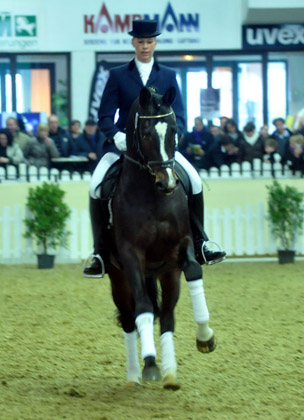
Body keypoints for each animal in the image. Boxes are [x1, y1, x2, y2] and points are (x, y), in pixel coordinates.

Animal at [105, 85, 208, 390]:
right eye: (146, 133)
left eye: (174, 130)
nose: (168, 183)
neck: (153, 196)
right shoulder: (130, 255)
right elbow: (142, 306)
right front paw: (149, 361)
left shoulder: (181, 247)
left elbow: (194, 271)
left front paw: (205, 336)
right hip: (118, 277)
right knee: (131, 317)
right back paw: (135, 375)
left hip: (166, 272)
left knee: (167, 315)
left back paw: (170, 373)